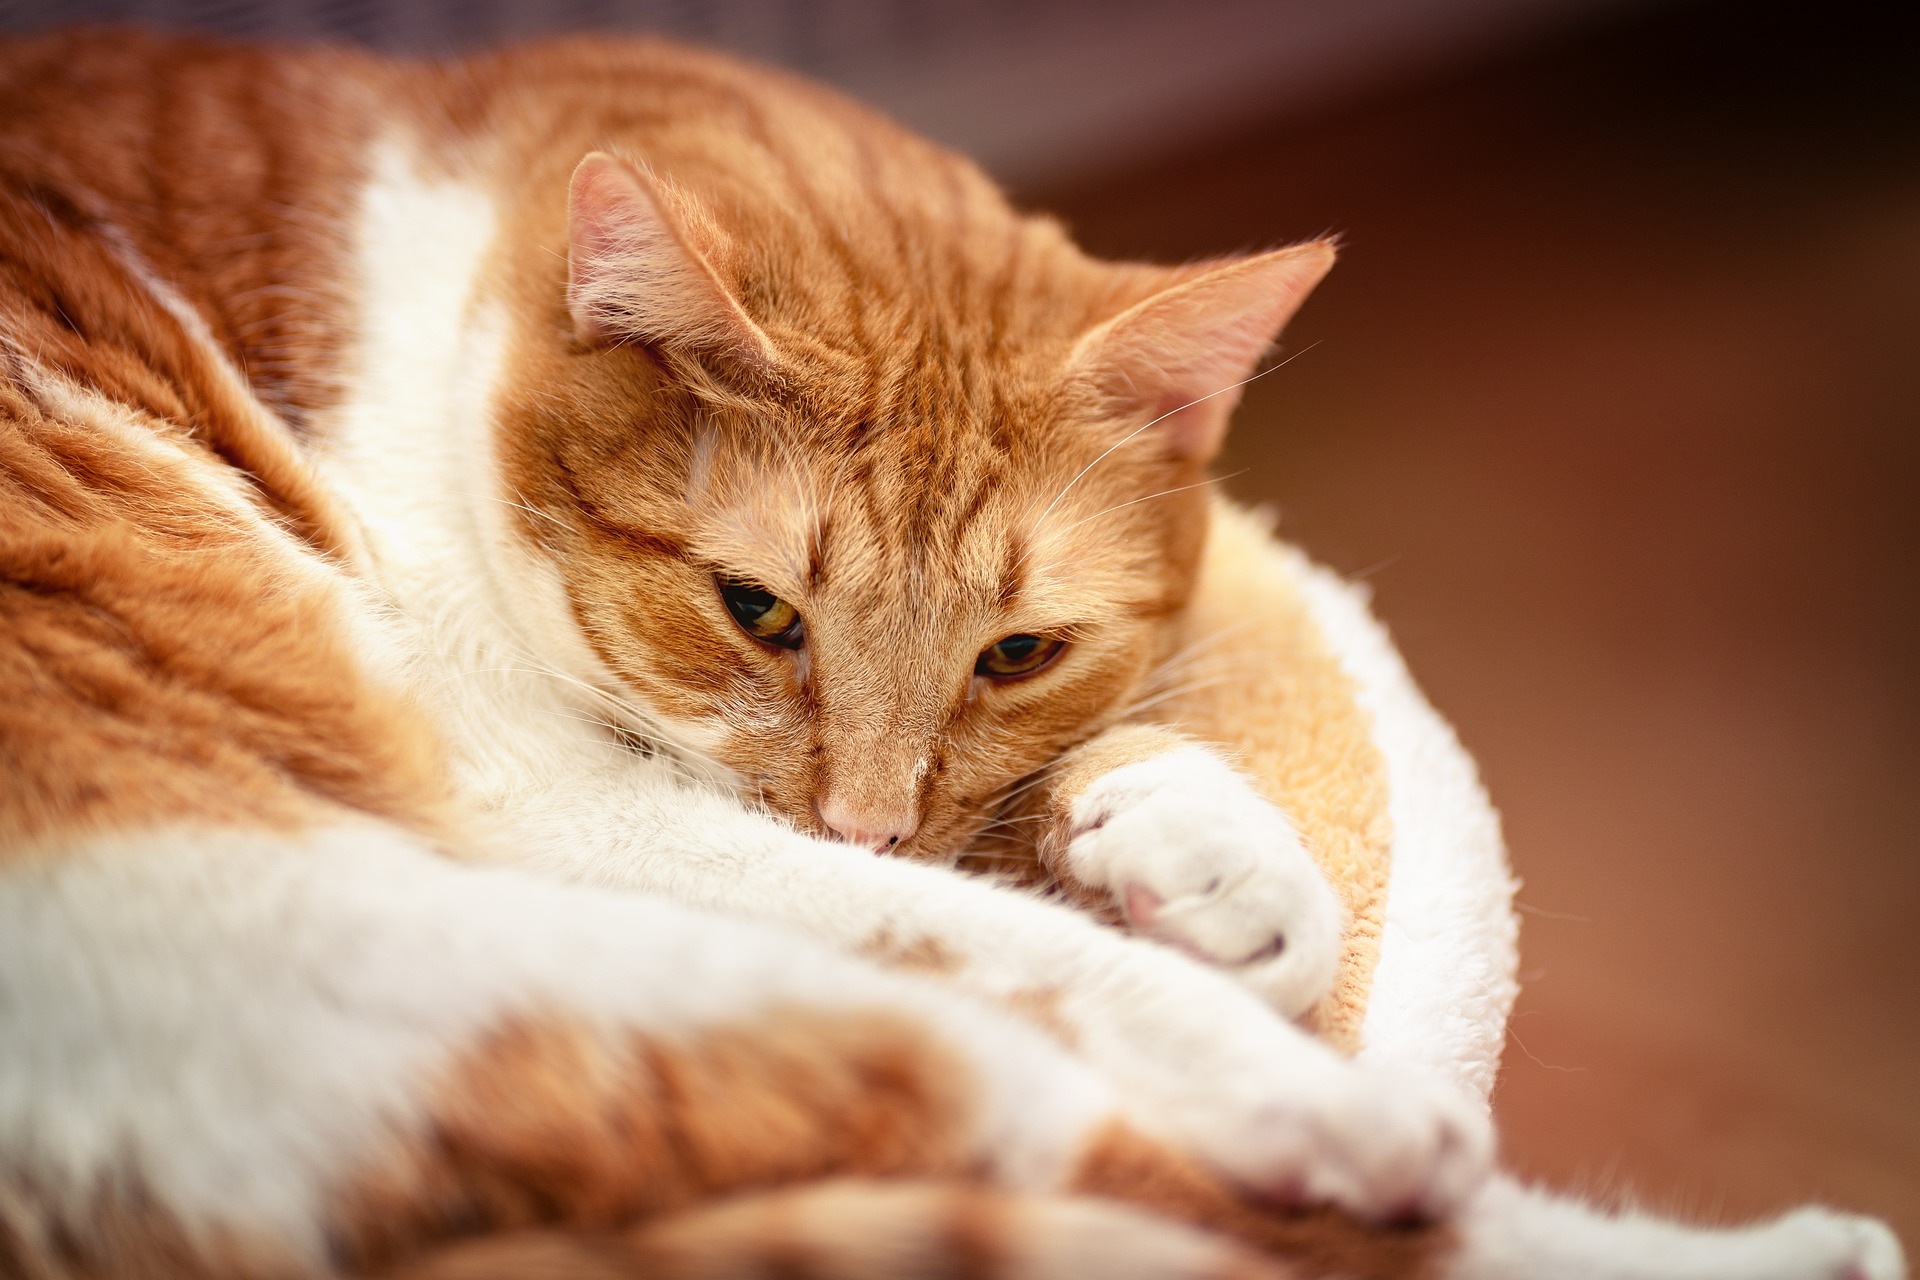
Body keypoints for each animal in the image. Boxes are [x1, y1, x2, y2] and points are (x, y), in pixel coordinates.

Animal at [0, 22, 1889, 1280]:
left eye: (1019, 652)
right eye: (758, 613)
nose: (866, 821)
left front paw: (1213, 865)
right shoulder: (552, 796)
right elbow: (1003, 937)